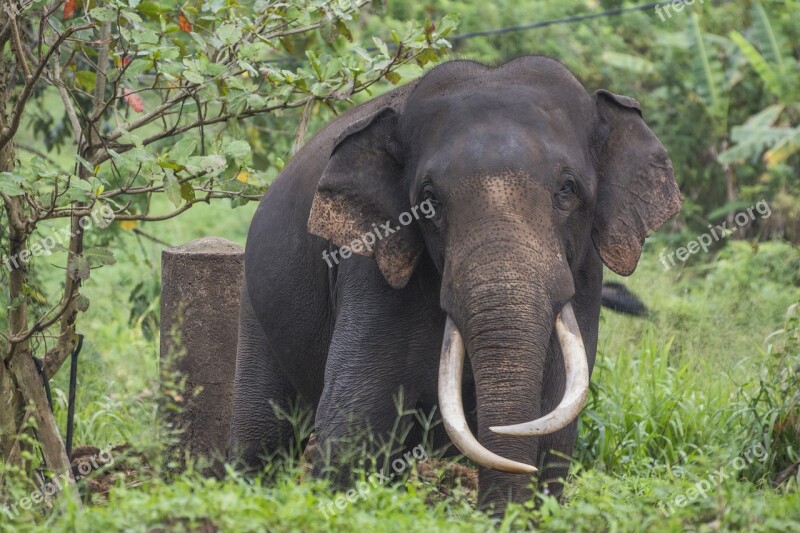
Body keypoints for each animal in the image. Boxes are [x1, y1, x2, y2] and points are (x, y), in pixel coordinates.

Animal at [227, 54, 680, 512]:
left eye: (567, 189)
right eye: (429, 202)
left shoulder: (585, 271)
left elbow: (556, 418)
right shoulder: (371, 267)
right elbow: (357, 416)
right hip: (253, 300)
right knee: (262, 431)